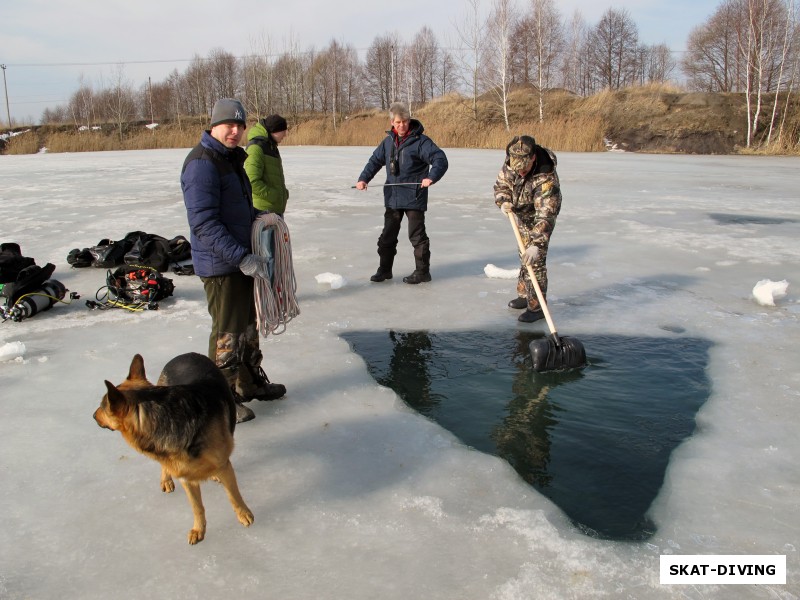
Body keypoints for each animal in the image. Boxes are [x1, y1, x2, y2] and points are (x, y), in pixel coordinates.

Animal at [95, 352, 255, 544]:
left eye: (103, 406)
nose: (93, 415)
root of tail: (187, 354)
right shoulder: (184, 475)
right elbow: (197, 507)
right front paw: (198, 529)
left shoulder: (223, 466)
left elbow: (233, 495)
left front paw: (243, 514)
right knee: (166, 465)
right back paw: (166, 479)